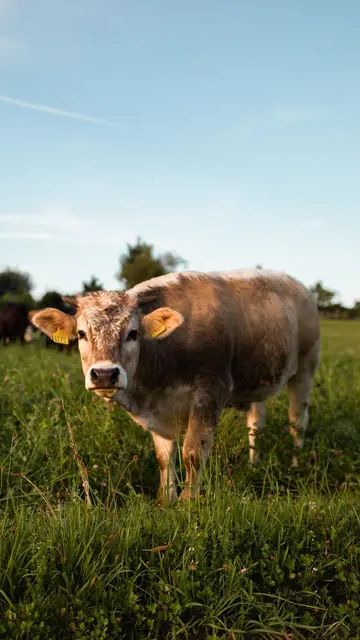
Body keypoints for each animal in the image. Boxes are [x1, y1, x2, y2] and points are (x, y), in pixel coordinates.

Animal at [29, 270, 320, 504]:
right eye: (81, 334)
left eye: (133, 333)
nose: (104, 374)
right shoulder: (158, 411)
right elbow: (164, 457)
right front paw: (166, 499)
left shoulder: (210, 391)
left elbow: (192, 452)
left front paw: (187, 502)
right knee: (256, 424)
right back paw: (253, 463)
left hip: (305, 371)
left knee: (298, 421)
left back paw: (295, 465)